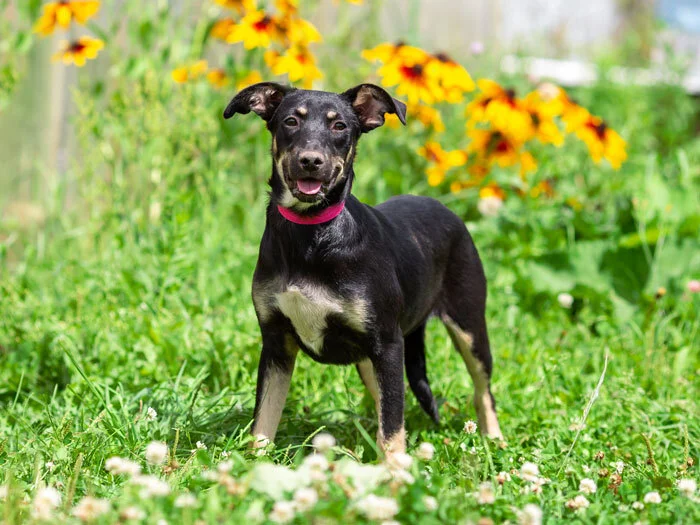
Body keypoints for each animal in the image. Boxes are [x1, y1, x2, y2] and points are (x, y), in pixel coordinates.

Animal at [224, 82, 504, 450]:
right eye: (290, 121)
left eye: (339, 126)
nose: (310, 161)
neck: (312, 234)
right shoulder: (276, 343)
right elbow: (264, 421)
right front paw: (253, 461)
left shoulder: (388, 344)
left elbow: (393, 426)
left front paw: (396, 466)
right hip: (372, 360)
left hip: (469, 326)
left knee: (482, 391)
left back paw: (495, 440)